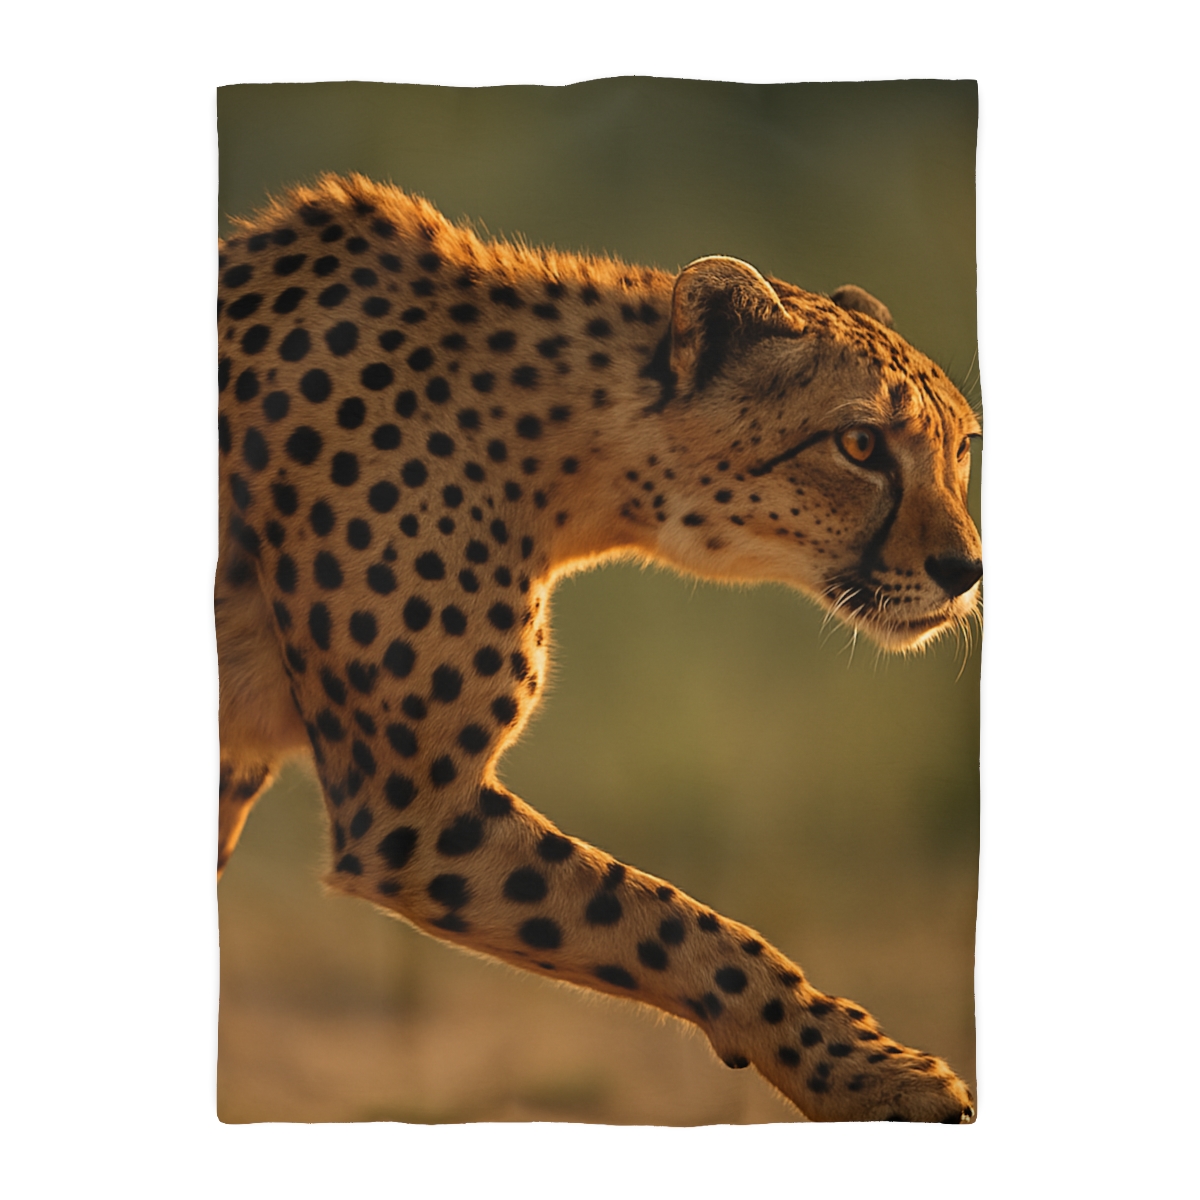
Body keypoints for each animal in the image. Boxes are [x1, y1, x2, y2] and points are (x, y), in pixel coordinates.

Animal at [217, 173, 983, 1123]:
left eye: (963, 447)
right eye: (860, 443)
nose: (966, 570)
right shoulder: (411, 813)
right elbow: (675, 922)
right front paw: (872, 1075)